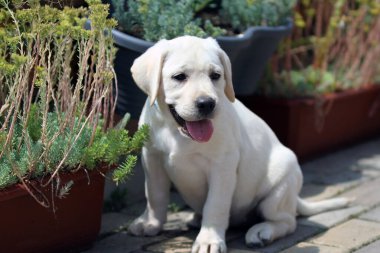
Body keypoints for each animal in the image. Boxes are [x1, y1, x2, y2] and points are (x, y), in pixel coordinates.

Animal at [129, 36, 348, 253]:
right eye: (179, 77)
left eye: (215, 75)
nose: (207, 103)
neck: (175, 132)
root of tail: (295, 198)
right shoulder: (152, 158)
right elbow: (155, 194)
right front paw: (150, 223)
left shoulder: (222, 166)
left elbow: (215, 204)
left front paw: (209, 239)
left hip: (279, 189)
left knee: (287, 221)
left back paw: (261, 232)